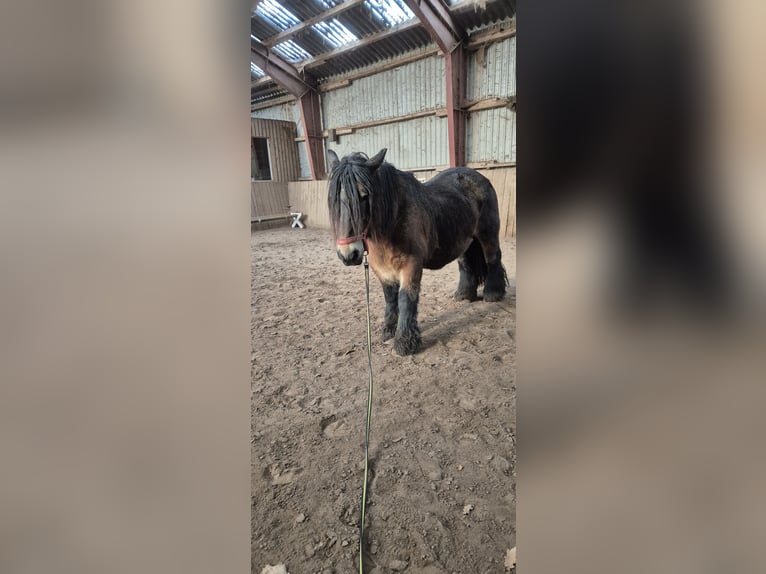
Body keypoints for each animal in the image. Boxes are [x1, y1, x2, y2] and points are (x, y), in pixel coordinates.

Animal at [327, 148, 508, 356]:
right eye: (333, 199)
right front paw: (389, 330)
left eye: (365, 196)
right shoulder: (382, 270)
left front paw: (405, 342)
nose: (348, 255)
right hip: (464, 240)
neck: (393, 222)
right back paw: (463, 295)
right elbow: (390, 298)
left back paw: (493, 293)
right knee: (466, 265)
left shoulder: (411, 265)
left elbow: (406, 299)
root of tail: (480, 177)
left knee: (493, 259)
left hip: (487, 235)